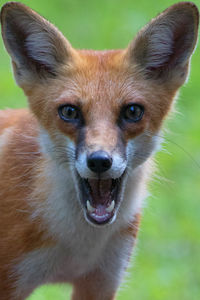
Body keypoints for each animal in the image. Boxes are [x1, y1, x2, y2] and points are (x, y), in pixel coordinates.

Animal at [0, 2, 198, 300]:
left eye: (132, 112)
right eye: (70, 112)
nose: (100, 161)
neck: (78, 246)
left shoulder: (102, 281)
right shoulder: (9, 281)